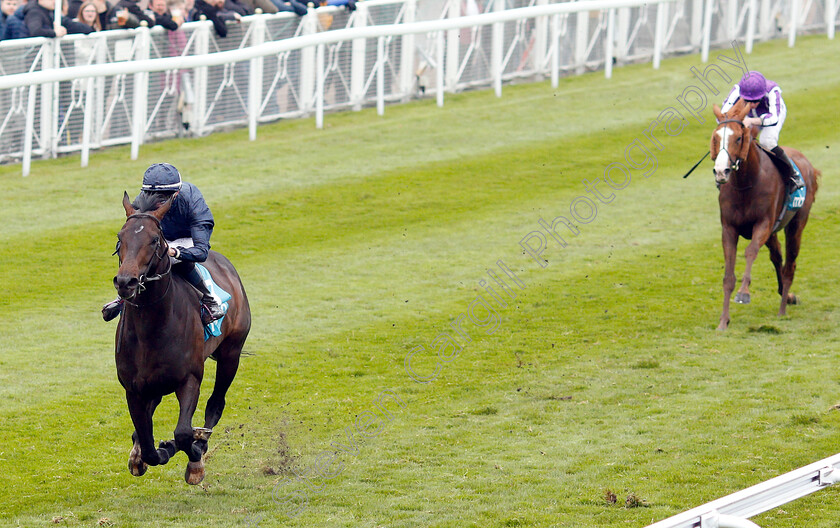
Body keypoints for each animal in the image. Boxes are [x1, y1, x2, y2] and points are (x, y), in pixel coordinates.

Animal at [115, 192, 253, 484]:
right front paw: (145, 453)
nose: (125, 282)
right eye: (120, 237)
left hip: (231, 352)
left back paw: (201, 441)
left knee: (216, 404)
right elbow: (146, 441)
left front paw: (193, 459)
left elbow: (183, 433)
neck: (151, 329)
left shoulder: (189, 378)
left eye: (154, 240)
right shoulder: (133, 388)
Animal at [708, 99, 820, 330]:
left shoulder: (763, 224)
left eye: (738, 138)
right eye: (716, 137)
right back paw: (786, 295)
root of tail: (807, 163)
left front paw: (743, 294)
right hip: (774, 232)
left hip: (796, 224)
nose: (721, 172)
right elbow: (728, 275)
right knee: (777, 257)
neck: (746, 184)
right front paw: (723, 321)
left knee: (790, 264)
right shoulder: (729, 228)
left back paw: (783, 309)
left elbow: (750, 251)